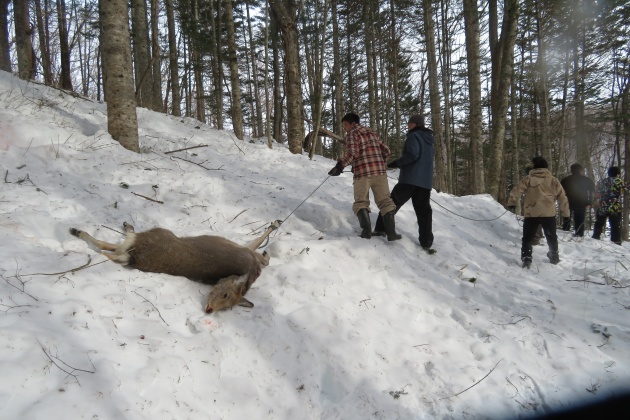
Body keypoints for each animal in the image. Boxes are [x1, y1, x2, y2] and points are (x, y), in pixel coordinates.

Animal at [68, 220, 282, 312]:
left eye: (227, 308)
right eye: (225, 295)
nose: (209, 309)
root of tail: (135, 256)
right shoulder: (244, 249)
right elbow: (258, 246)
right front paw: (274, 226)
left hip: (155, 234)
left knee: (110, 246)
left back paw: (78, 232)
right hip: (157, 233)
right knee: (115, 246)